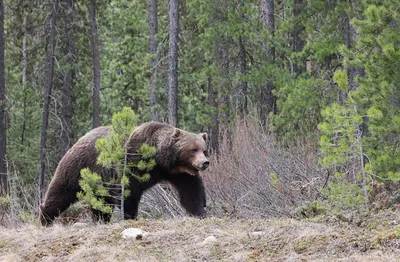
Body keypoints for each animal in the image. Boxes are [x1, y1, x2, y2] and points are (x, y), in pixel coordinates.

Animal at [40, 121, 209, 225]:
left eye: (204, 149)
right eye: (193, 150)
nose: (205, 162)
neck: (159, 158)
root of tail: (81, 137)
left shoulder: (178, 173)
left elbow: (191, 191)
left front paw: (200, 212)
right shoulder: (132, 160)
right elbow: (128, 191)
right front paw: (130, 216)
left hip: (99, 180)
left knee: (101, 202)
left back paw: (101, 219)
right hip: (79, 166)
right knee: (61, 192)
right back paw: (45, 218)